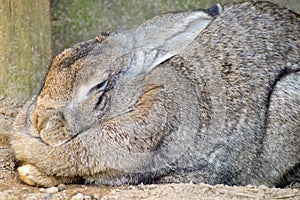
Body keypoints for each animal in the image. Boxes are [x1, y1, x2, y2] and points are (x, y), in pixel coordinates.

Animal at [7, 0, 300, 187]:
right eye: (57, 60)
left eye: (99, 86)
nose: (39, 121)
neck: (137, 96)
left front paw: (30, 173)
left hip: (287, 98)